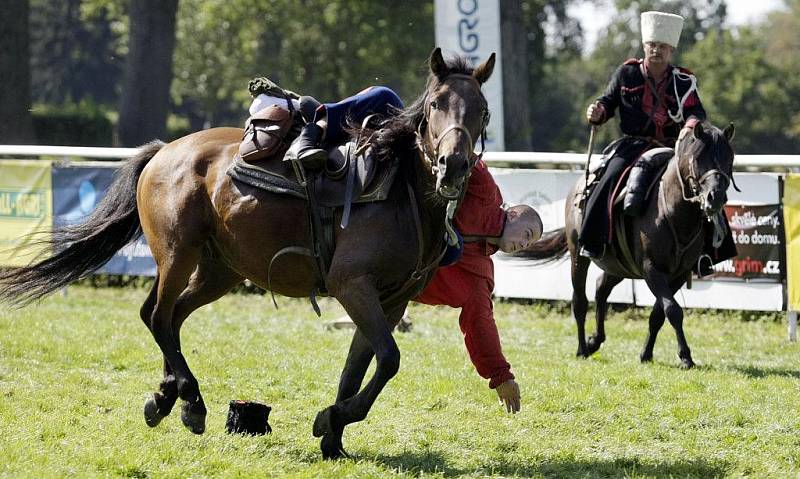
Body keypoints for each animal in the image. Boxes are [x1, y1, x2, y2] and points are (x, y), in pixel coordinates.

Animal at [0, 47, 496, 458]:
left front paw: (333, 439)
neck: (397, 183)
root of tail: (164, 151)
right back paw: (192, 400)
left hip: (219, 270)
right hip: (177, 254)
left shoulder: (391, 300)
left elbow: (359, 366)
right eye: (435, 105)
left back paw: (165, 398)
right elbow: (388, 359)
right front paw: (330, 420)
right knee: (157, 315)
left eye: (483, 110)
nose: (453, 165)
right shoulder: (352, 286)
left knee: (170, 316)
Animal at [520, 123, 736, 368]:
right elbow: (672, 310)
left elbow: (658, 314)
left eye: (729, 158)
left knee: (601, 289)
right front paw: (685, 357)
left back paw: (595, 340)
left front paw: (647, 354)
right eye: (698, 158)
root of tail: (580, 184)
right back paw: (582, 348)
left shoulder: (679, 274)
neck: (672, 211)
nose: (715, 197)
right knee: (580, 300)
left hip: (619, 265)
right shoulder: (652, 270)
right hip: (578, 255)